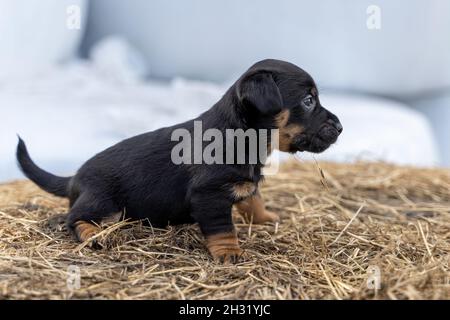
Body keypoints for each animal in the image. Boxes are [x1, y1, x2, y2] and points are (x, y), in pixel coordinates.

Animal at [15, 59, 342, 262]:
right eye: (308, 101)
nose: (340, 127)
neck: (243, 136)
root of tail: (74, 178)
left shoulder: (244, 182)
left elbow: (253, 199)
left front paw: (266, 218)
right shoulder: (209, 196)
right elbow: (223, 228)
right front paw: (229, 253)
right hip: (105, 203)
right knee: (73, 218)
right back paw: (93, 235)